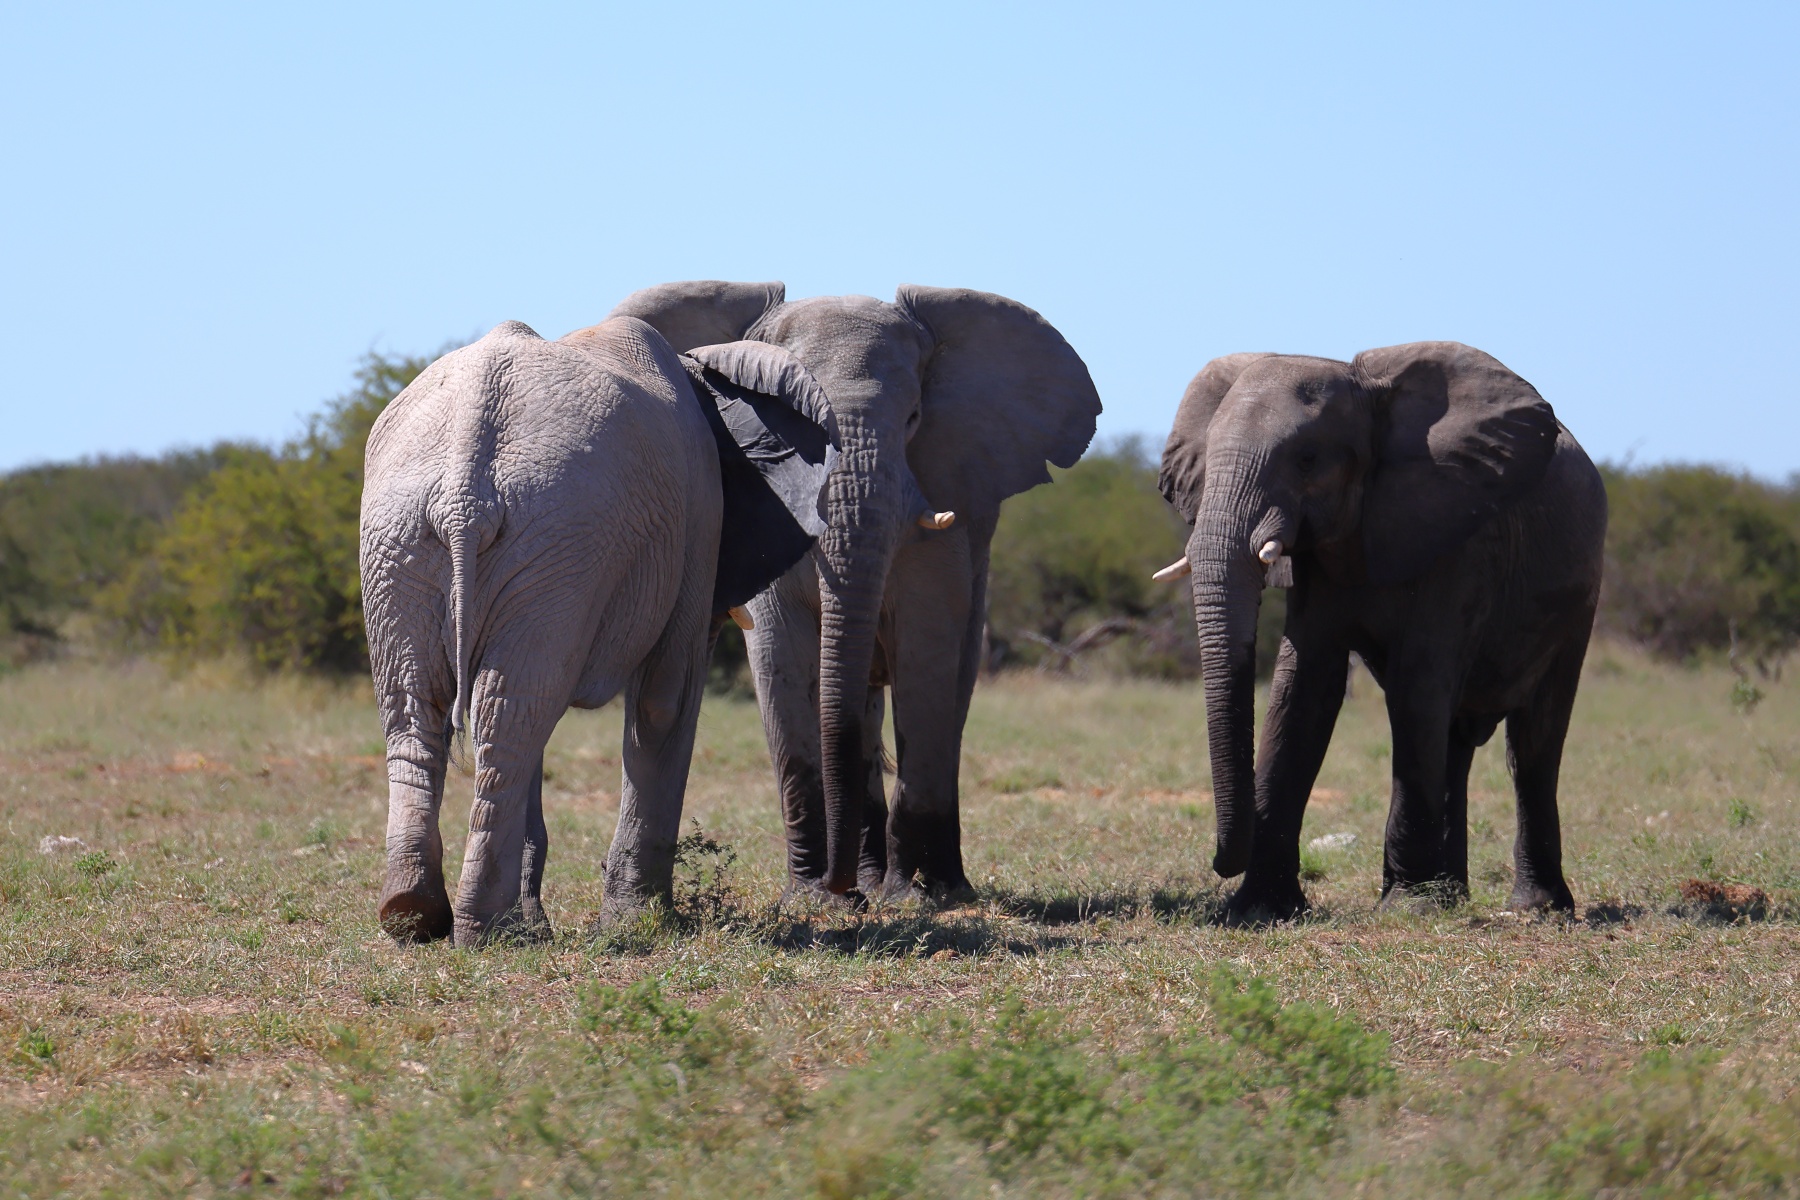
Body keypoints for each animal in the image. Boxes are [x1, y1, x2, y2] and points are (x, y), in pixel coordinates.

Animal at [359, 315, 837, 944]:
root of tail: (465, 490)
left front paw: (556, 922)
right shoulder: (698, 515)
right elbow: (664, 699)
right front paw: (640, 924)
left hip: (416, 537)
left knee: (445, 708)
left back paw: (421, 915)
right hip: (538, 536)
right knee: (502, 711)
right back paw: (484, 929)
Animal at [608, 282, 1103, 901]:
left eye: (913, 418)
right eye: (791, 421)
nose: (843, 889)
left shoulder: (940, 505)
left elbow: (925, 653)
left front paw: (912, 897)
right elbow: (779, 654)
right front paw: (812, 897)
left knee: (949, 699)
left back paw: (938, 886)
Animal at [1155, 342, 1606, 919]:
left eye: (1307, 459)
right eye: (1209, 459)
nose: (1220, 862)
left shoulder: (1456, 539)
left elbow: (1415, 689)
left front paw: (1408, 908)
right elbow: (1302, 691)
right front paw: (1259, 910)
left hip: (1579, 599)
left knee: (1533, 744)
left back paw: (1535, 908)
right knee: (1454, 743)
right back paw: (1452, 897)